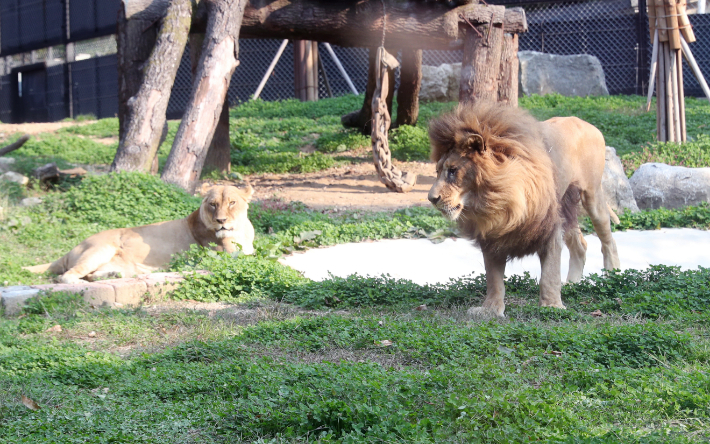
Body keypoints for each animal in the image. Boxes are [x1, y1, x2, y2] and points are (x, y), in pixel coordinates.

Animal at [26, 185, 258, 284]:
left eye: (232, 202)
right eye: (213, 205)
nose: (221, 221)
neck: (242, 231)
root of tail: (68, 251)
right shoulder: (226, 256)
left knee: (90, 274)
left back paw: (113, 275)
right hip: (102, 248)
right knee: (66, 276)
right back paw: (81, 283)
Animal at [432, 102, 620, 318]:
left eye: (453, 171)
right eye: (437, 171)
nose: (431, 198)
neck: (494, 201)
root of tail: (586, 123)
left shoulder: (550, 226)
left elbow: (549, 273)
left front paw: (551, 307)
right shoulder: (492, 236)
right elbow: (494, 279)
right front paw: (491, 309)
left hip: (592, 195)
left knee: (608, 240)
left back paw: (613, 275)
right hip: (566, 206)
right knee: (580, 244)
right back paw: (572, 284)